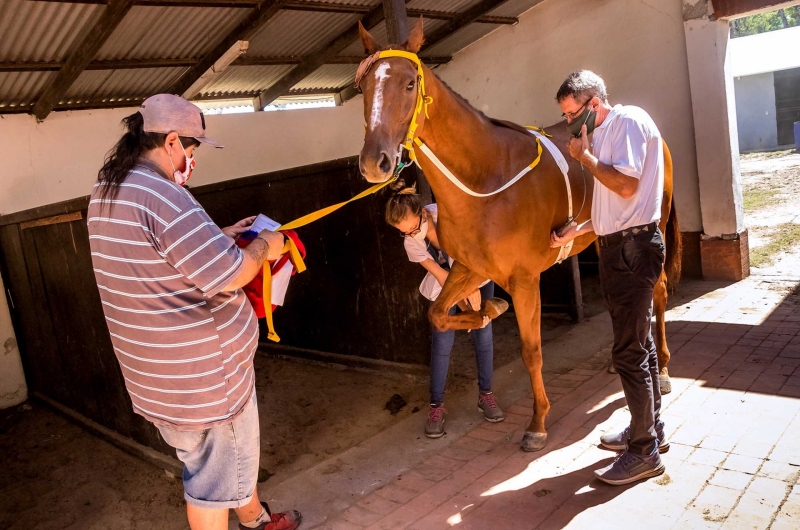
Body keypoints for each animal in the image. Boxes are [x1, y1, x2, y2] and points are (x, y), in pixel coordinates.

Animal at [356, 19, 680, 450]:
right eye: (364, 86)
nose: (374, 163)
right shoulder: (471, 269)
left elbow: (531, 351)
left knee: (657, 293)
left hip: (653, 230)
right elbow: (438, 314)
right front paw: (489, 309)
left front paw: (538, 422)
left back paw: (662, 368)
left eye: (409, 84)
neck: (488, 178)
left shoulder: (525, 280)